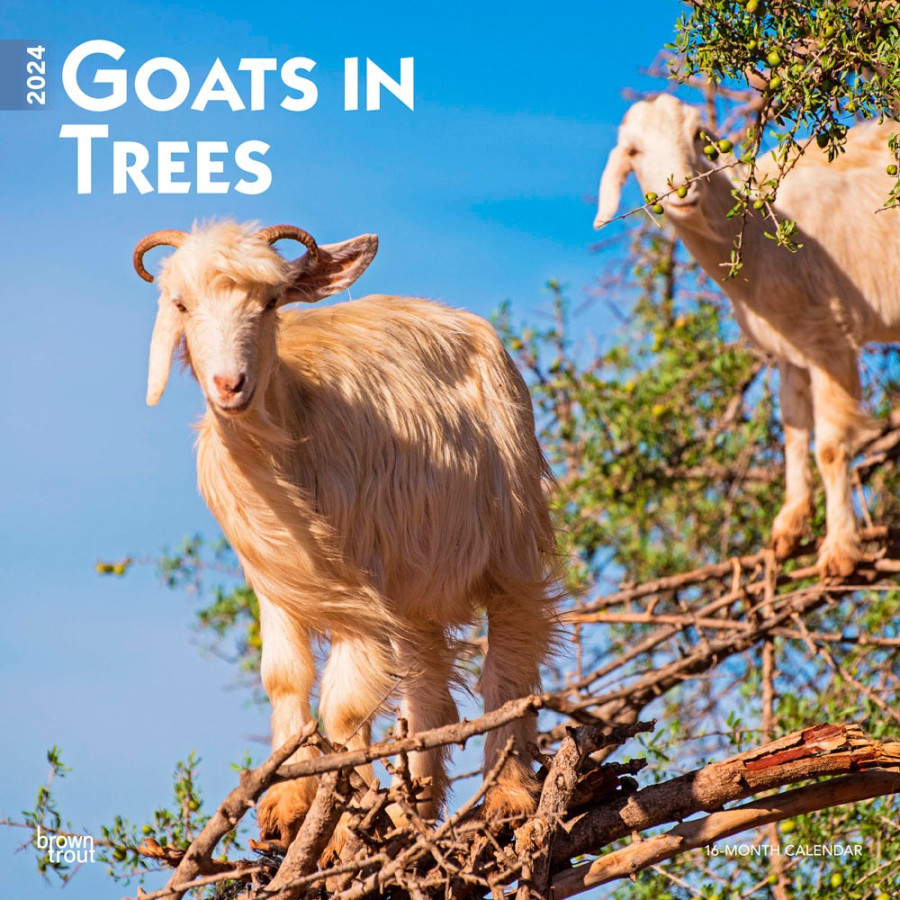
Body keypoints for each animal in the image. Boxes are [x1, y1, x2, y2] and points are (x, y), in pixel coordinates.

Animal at [132, 221, 557, 846]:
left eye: (271, 301)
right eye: (182, 304)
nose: (230, 384)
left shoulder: (362, 581)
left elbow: (346, 707)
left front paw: (337, 831)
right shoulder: (277, 580)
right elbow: (285, 679)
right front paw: (286, 810)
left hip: (511, 534)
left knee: (509, 658)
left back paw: (507, 796)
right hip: (413, 590)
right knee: (429, 690)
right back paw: (415, 808)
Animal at [595, 94, 900, 577]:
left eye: (696, 136)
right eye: (634, 151)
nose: (683, 191)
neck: (758, 234)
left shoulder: (829, 338)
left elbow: (830, 448)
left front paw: (839, 551)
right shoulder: (791, 347)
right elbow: (794, 431)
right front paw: (787, 530)